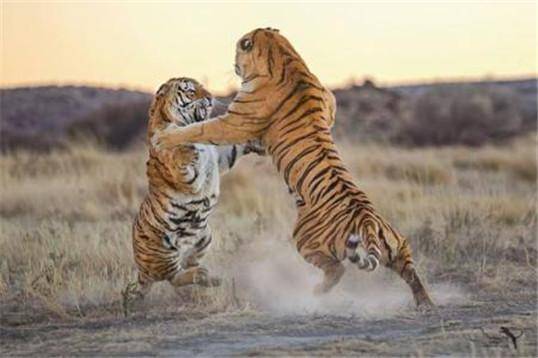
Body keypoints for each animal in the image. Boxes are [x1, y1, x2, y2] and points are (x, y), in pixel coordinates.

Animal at [132, 77, 262, 298]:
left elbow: (236, 144)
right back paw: (202, 275)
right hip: (164, 252)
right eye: (191, 92)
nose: (210, 97)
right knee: (174, 277)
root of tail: (141, 268)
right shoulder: (186, 177)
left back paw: (210, 278)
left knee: (188, 265)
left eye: (203, 87)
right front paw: (185, 149)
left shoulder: (220, 156)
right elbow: (179, 156)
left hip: (204, 237)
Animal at [150, 28, 432, 308]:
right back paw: (425, 303)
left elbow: (200, 129)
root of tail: (367, 222)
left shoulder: (234, 121)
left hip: (304, 238)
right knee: (411, 272)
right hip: (399, 246)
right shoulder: (329, 100)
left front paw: (165, 137)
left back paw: (317, 292)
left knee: (337, 269)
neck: (285, 56)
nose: (233, 63)